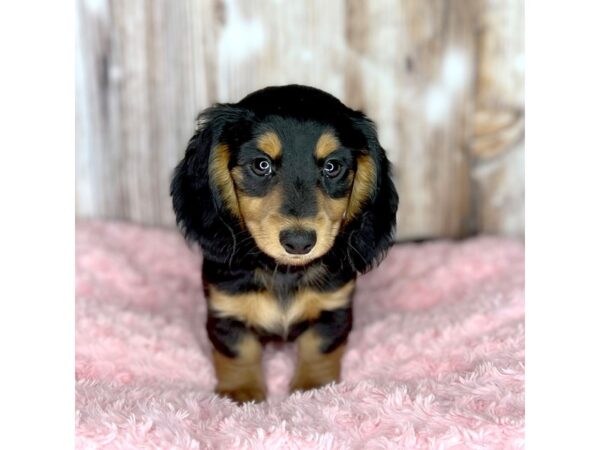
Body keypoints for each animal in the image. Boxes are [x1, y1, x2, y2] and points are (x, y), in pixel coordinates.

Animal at [171, 85, 398, 404]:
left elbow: (318, 349)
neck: (284, 272)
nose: (299, 242)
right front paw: (241, 394)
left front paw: (314, 389)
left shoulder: (333, 309)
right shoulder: (226, 310)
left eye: (332, 167)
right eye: (261, 164)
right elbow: (239, 352)